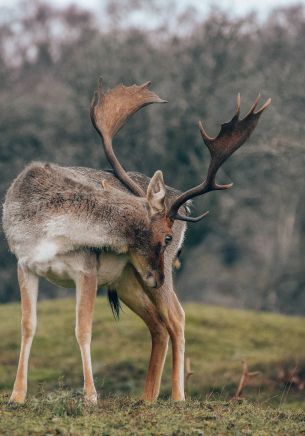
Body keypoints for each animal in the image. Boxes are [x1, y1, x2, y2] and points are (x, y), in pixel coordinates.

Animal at [1, 79, 268, 406]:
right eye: (165, 237)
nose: (159, 276)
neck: (47, 230)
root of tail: (182, 202)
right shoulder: (24, 263)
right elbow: (27, 326)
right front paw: (16, 396)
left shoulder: (86, 269)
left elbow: (83, 329)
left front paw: (91, 397)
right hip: (128, 278)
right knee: (158, 324)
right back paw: (147, 398)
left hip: (140, 279)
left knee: (176, 317)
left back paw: (177, 397)